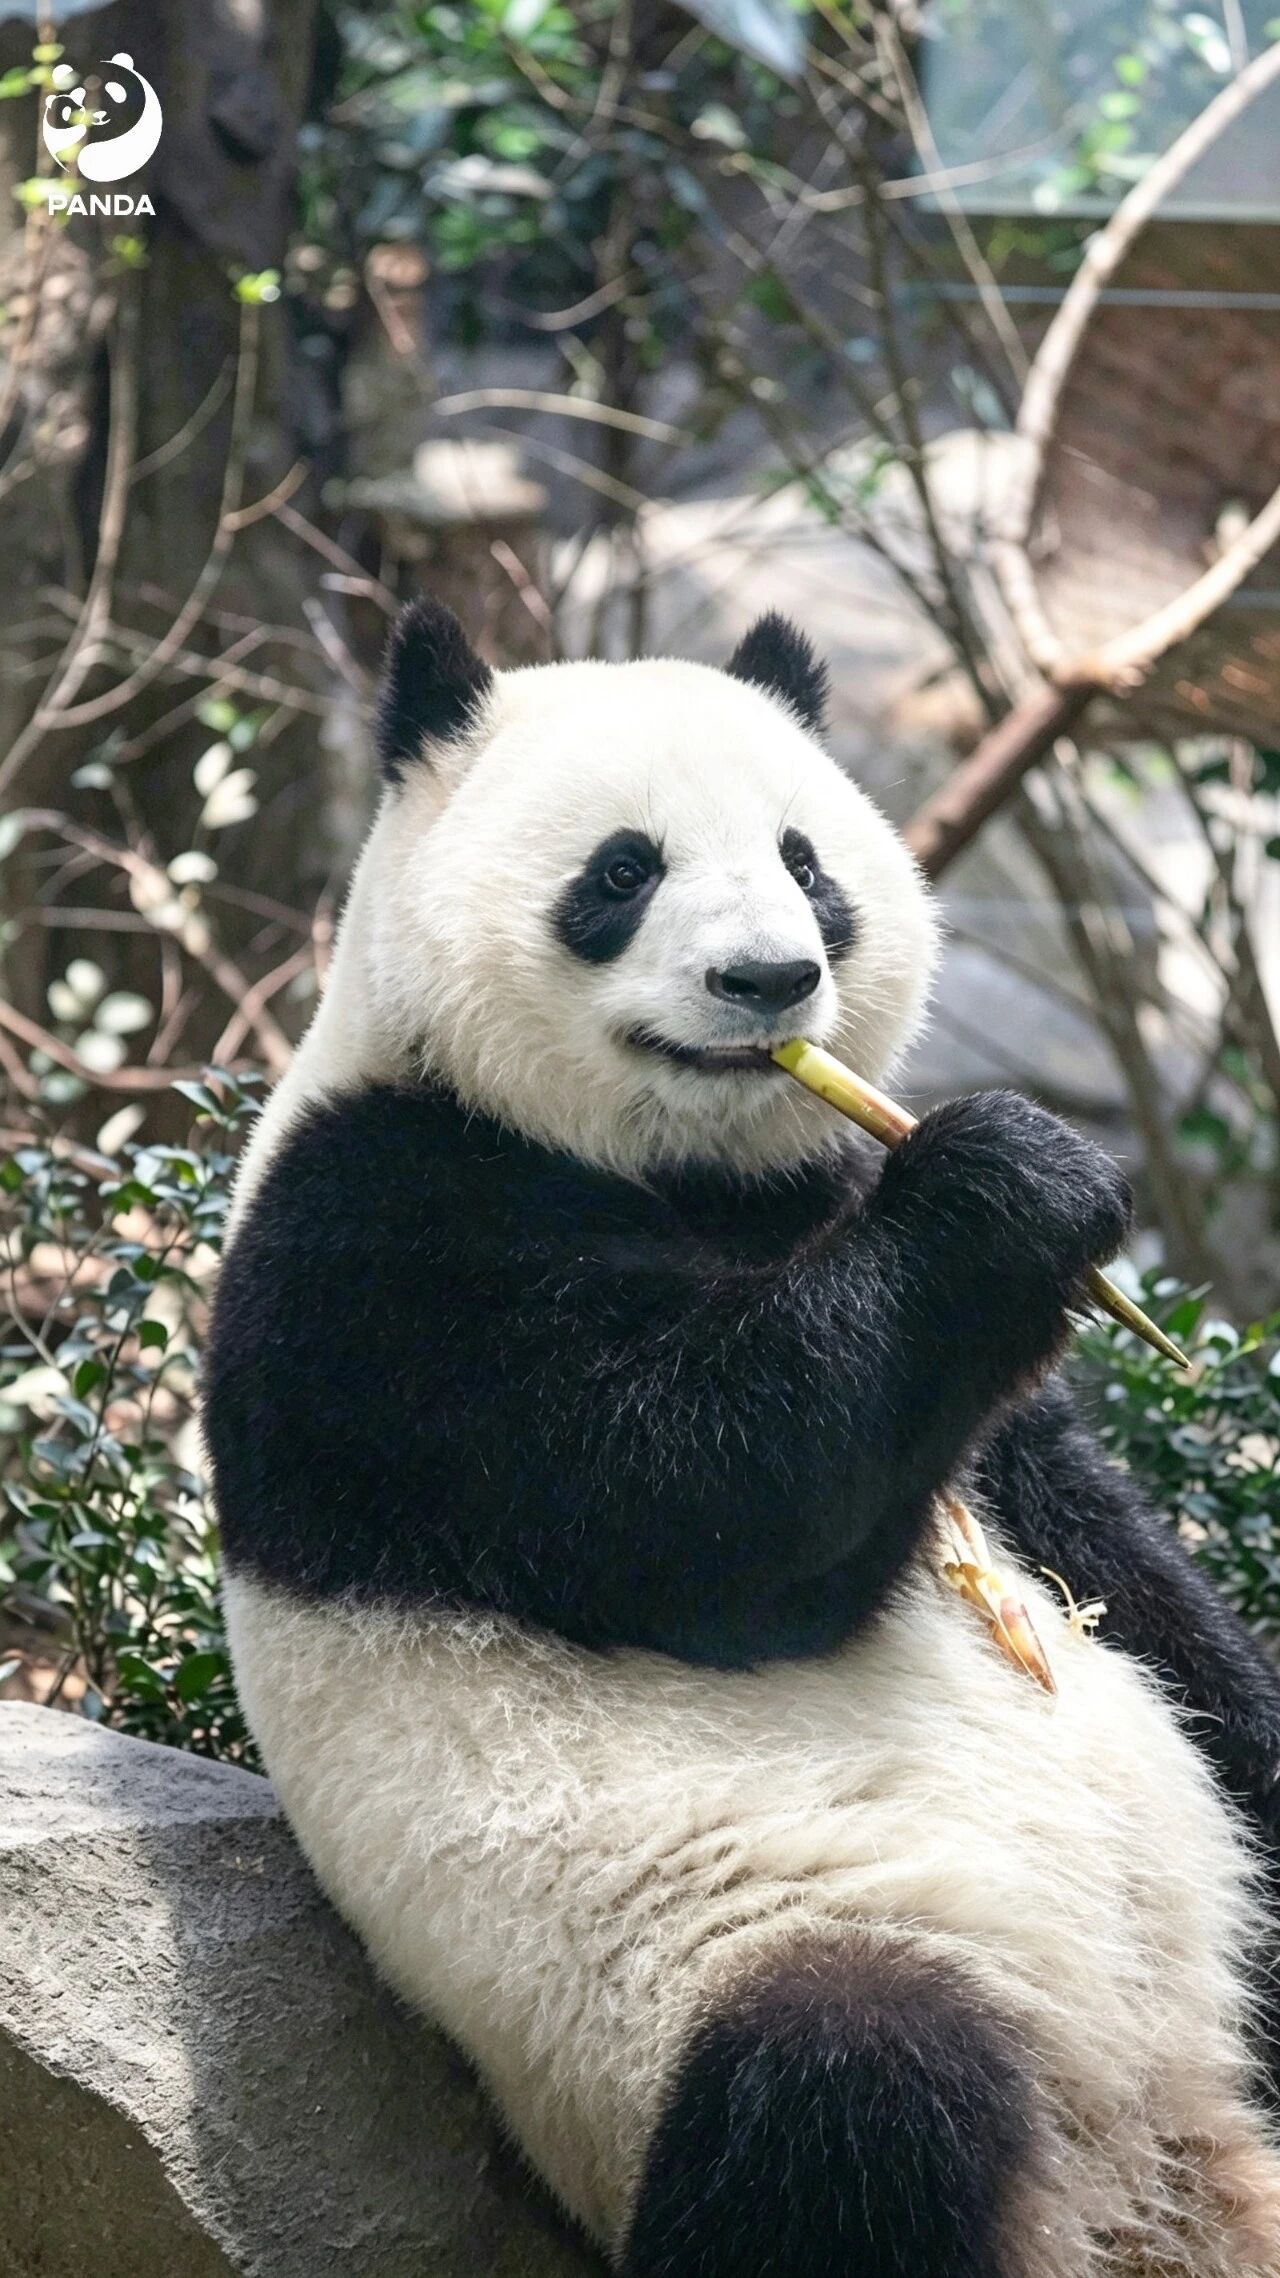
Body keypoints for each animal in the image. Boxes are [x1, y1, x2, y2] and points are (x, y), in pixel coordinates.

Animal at [205, 599, 1280, 2278]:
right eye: (621, 870)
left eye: (805, 858)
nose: (772, 978)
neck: (677, 1168)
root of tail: (1146, 2174)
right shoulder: (371, 1261)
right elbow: (701, 1503)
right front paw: (1012, 1180)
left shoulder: (847, 1238)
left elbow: (1099, 1543)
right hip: (720, 1976)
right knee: (849, 2095)